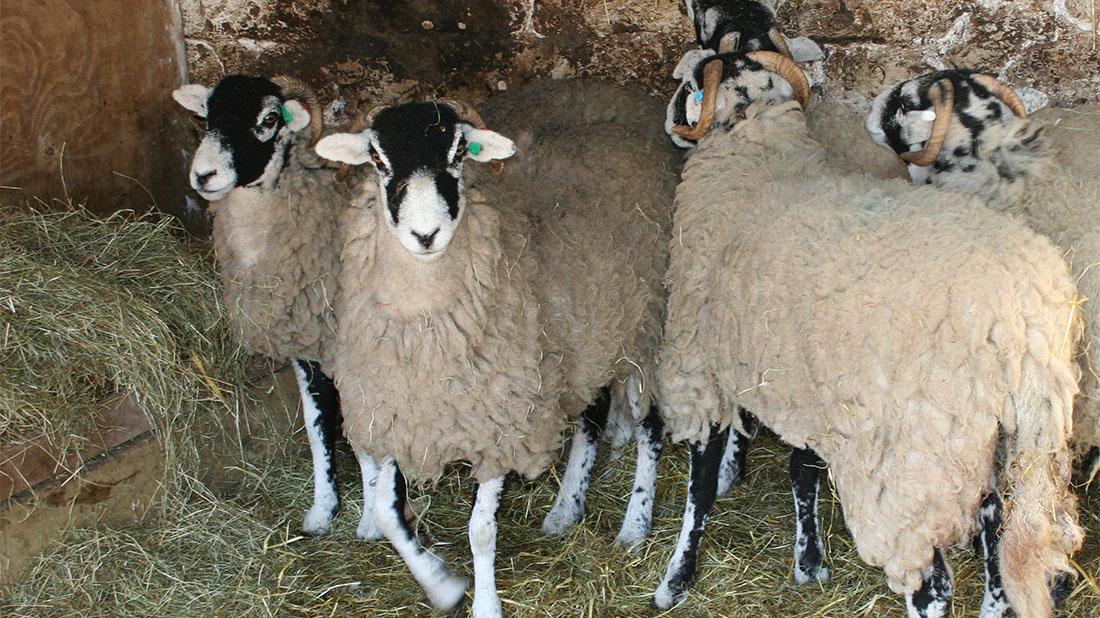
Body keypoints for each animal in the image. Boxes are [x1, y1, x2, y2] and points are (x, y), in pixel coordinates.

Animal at [172, 75, 380, 539]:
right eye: (208, 115)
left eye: (268, 120)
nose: (203, 175)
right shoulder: (307, 347)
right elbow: (317, 425)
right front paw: (324, 510)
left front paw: (376, 520)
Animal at [314, 80, 675, 616]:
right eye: (377, 159)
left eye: (460, 153)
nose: (425, 235)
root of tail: (605, 91)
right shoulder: (399, 413)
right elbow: (384, 511)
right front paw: (441, 585)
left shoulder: (500, 422)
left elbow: (481, 532)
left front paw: (483, 603)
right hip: (584, 335)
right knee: (590, 415)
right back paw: (565, 508)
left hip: (645, 327)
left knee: (649, 425)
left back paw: (635, 524)